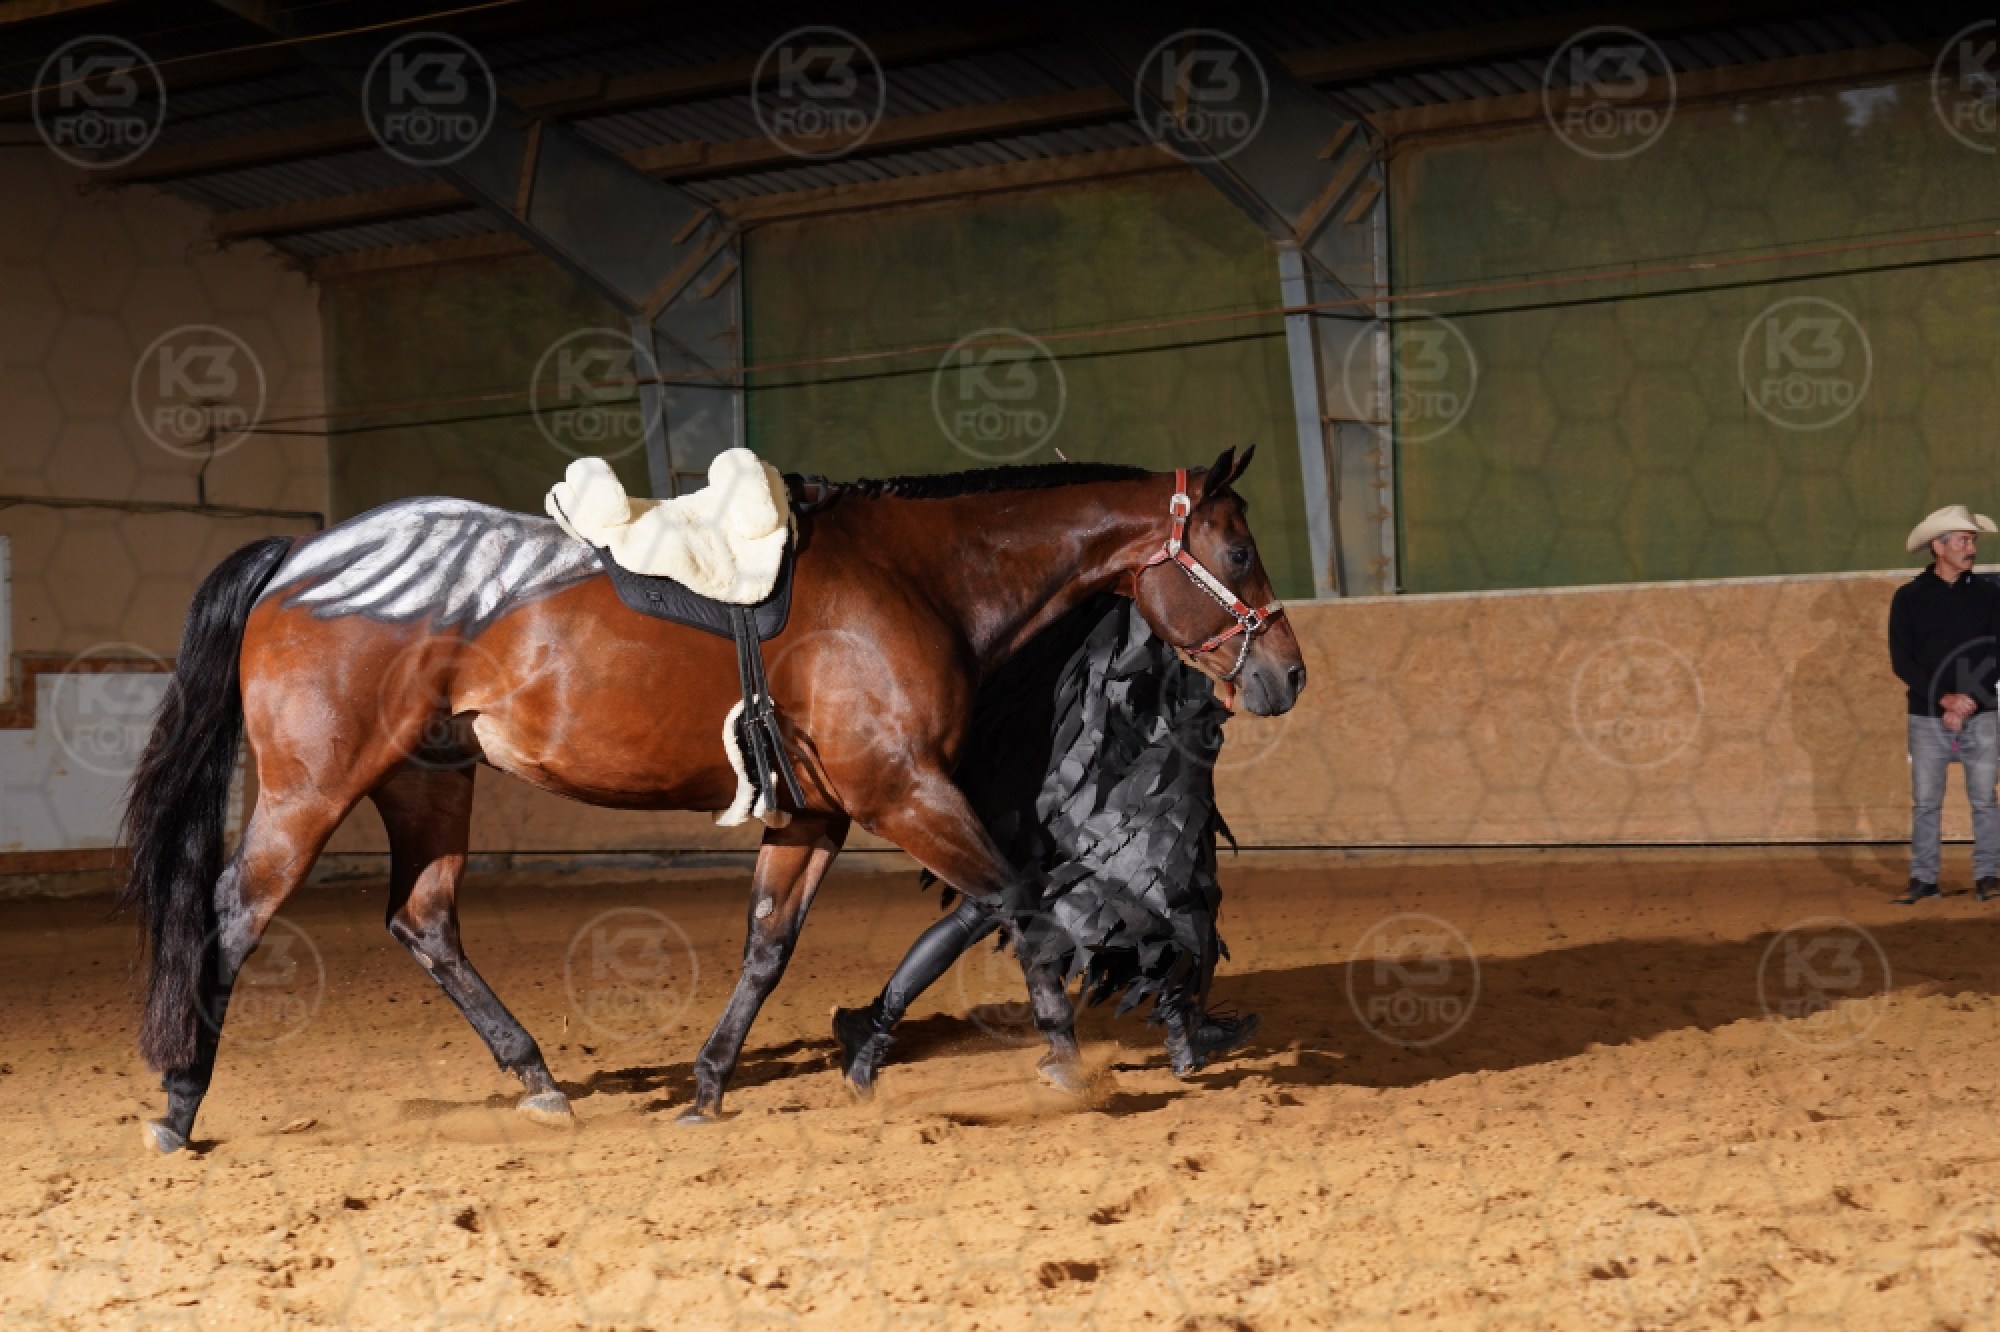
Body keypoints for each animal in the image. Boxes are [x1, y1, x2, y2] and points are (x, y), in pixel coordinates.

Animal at [119, 445, 1305, 1153]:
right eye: (1240, 548)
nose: (1286, 675)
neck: (919, 577)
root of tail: (300, 555)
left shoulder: (823, 814)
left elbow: (775, 946)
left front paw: (720, 1083)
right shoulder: (899, 788)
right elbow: (1018, 899)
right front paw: (1063, 1066)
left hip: (428, 783)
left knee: (423, 919)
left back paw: (536, 1078)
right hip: (316, 786)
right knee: (234, 914)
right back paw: (181, 1103)